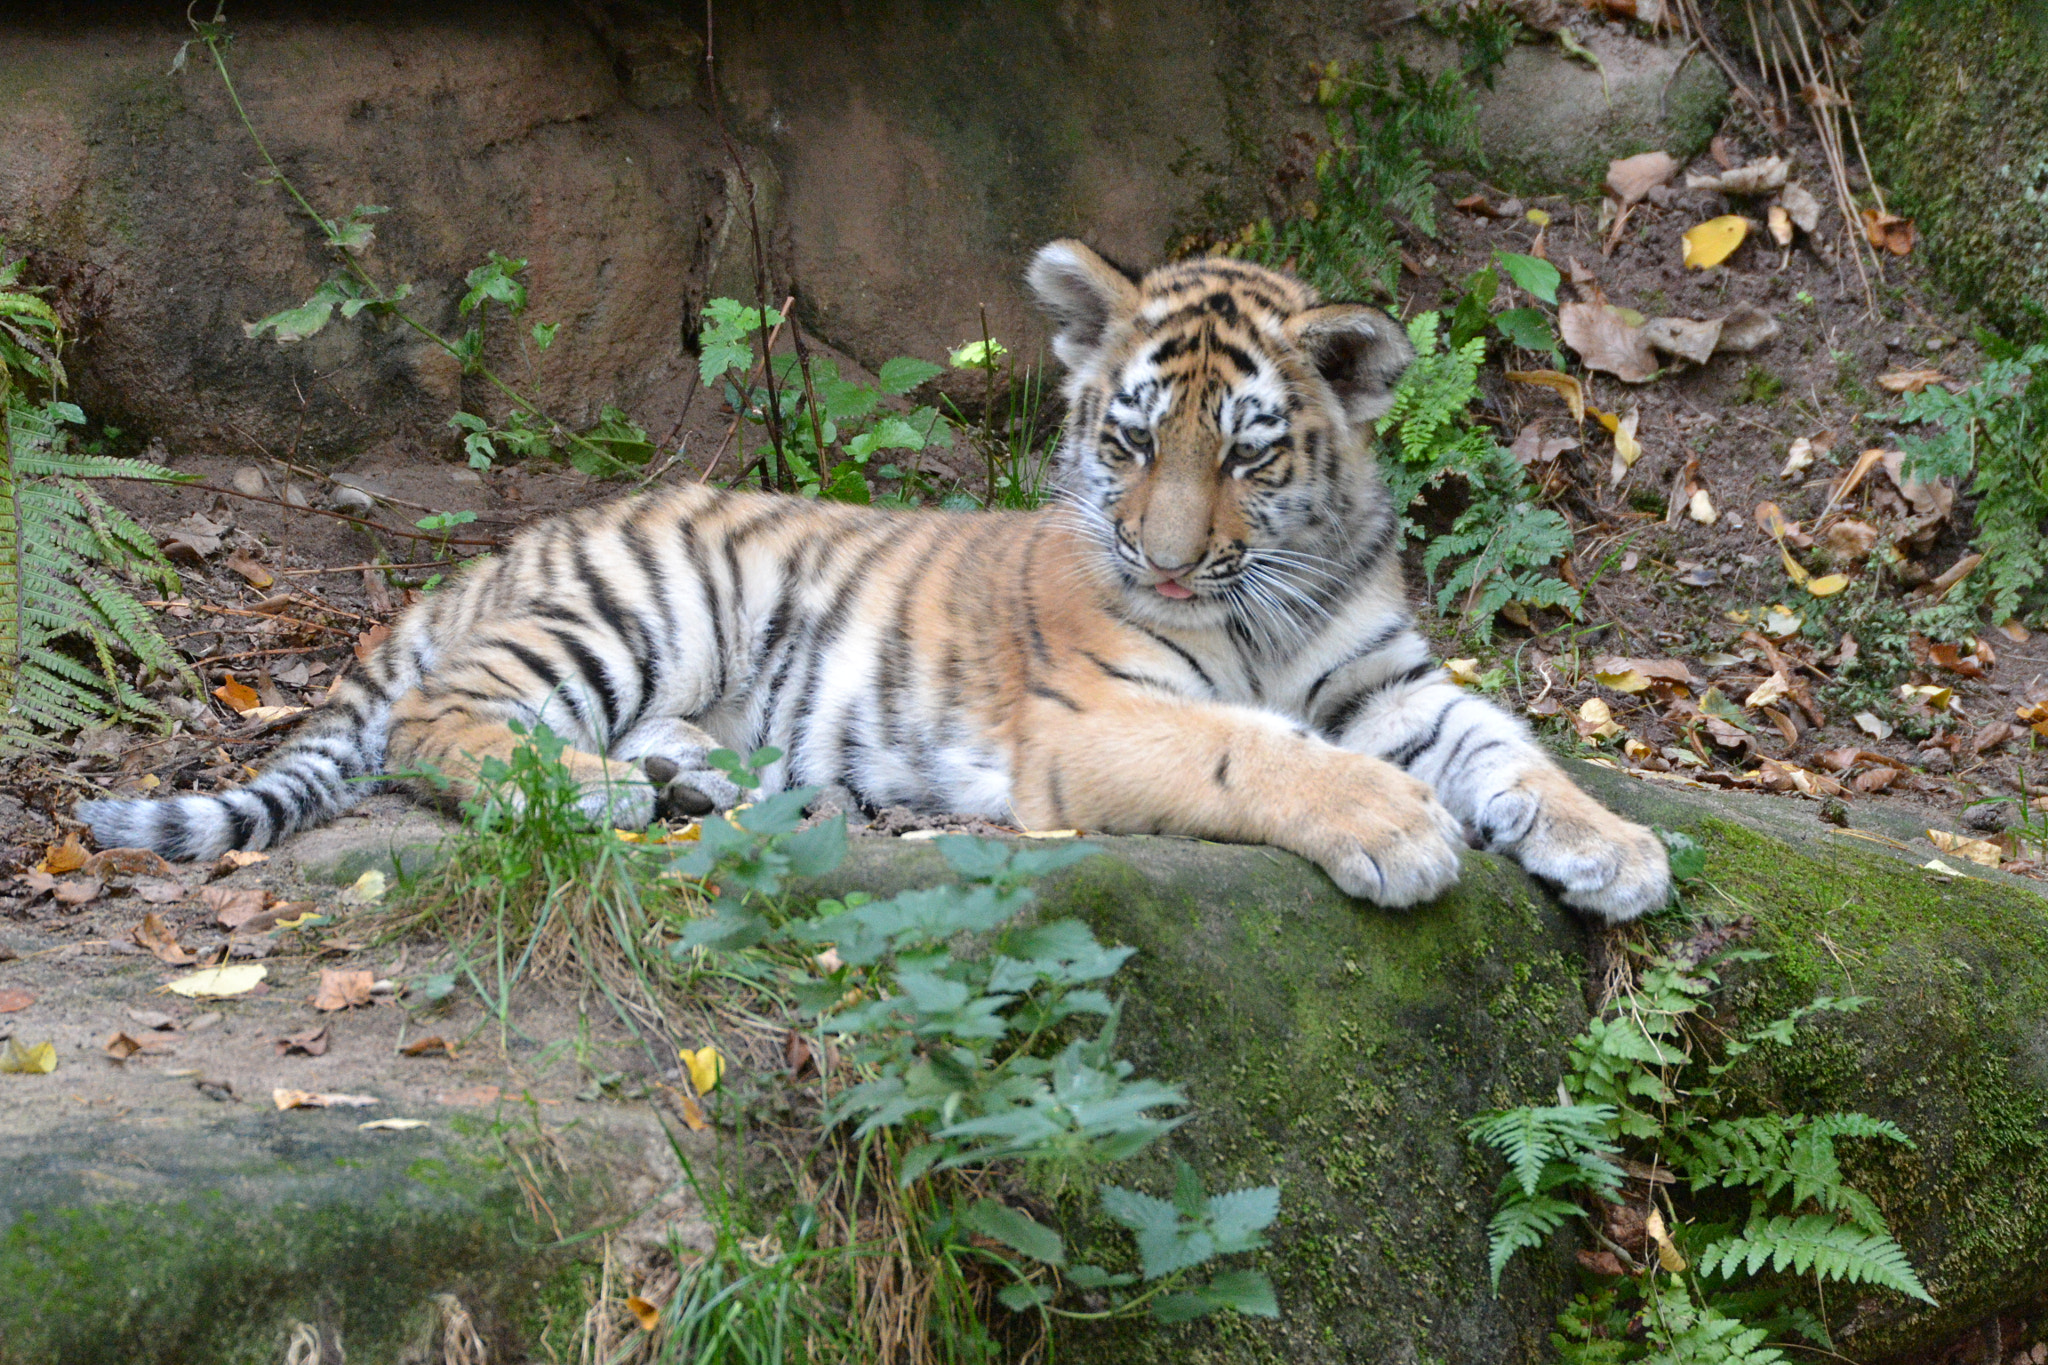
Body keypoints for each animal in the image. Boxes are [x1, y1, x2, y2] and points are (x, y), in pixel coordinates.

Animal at [78, 241, 1670, 921]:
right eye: (1132, 443)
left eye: (1245, 455)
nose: (1161, 561)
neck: (1264, 599)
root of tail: (509, 547)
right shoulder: (1101, 718)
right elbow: (1253, 754)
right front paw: (1396, 830)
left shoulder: (1388, 685)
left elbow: (1508, 750)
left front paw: (1614, 849)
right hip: (634, 611)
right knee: (440, 723)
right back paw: (592, 792)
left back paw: (710, 782)